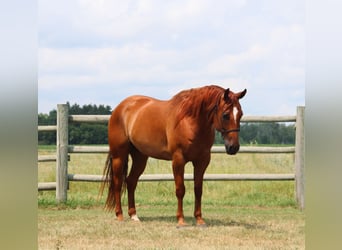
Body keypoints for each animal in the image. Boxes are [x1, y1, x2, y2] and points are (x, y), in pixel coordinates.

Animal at [101, 85, 246, 226]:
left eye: (240, 114)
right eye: (226, 115)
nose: (233, 147)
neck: (189, 121)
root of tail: (120, 107)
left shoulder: (202, 161)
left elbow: (198, 189)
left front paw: (199, 219)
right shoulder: (178, 160)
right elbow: (180, 189)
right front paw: (181, 219)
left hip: (140, 157)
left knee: (131, 181)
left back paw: (134, 215)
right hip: (119, 156)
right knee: (118, 183)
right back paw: (119, 215)